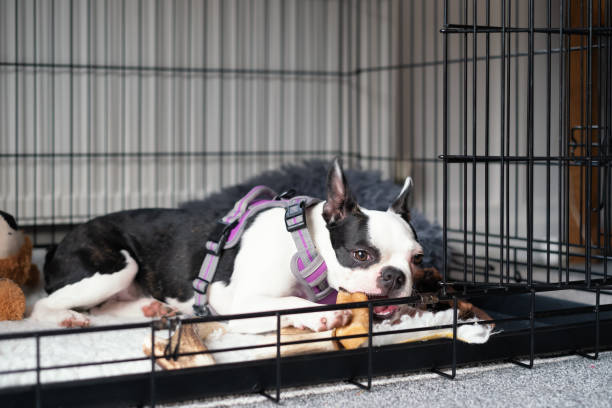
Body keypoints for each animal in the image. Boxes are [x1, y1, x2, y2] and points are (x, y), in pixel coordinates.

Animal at [31, 158, 428, 334]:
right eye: (361, 254)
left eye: (417, 260)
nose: (395, 277)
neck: (304, 246)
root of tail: (56, 246)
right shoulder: (239, 303)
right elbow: (289, 304)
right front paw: (323, 314)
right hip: (115, 265)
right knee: (43, 306)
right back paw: (66, 317)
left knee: (104, 308)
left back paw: (153, 309)